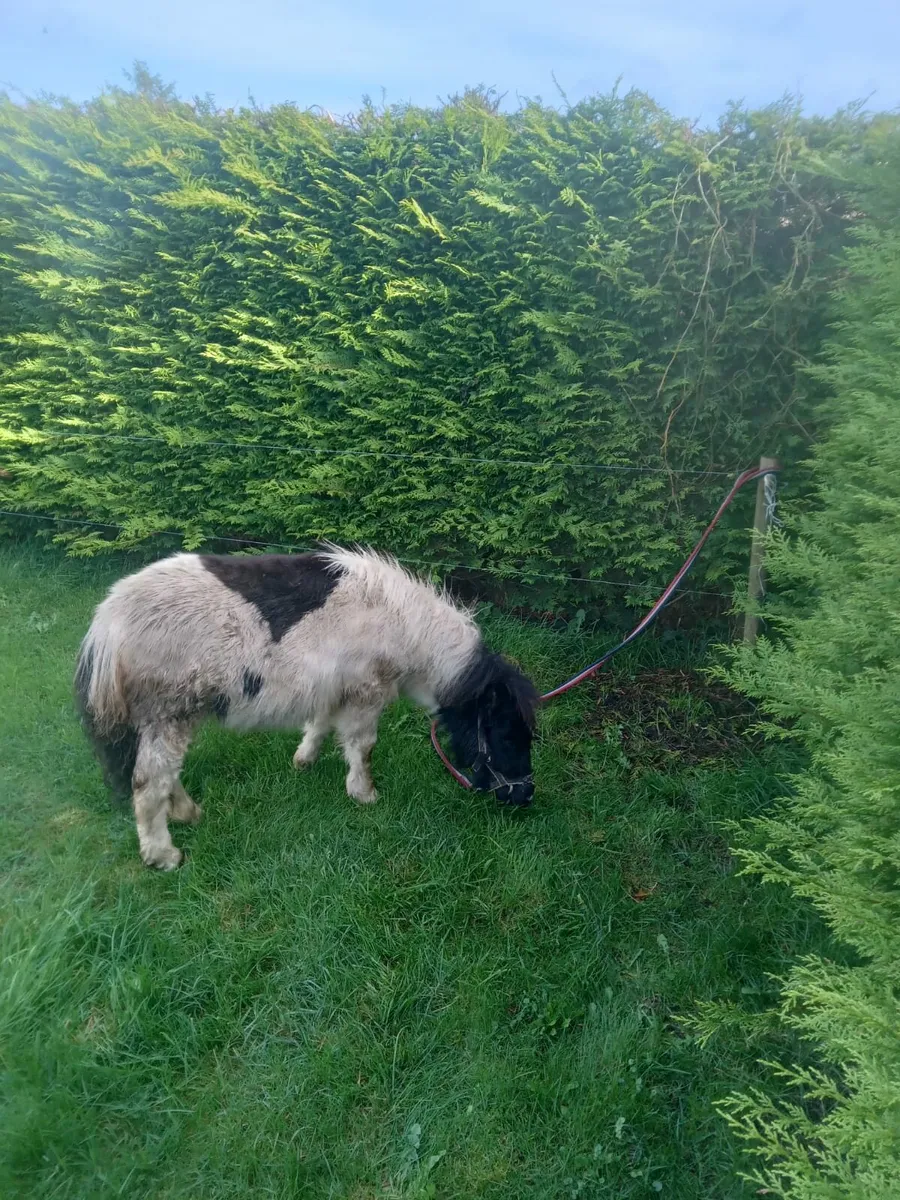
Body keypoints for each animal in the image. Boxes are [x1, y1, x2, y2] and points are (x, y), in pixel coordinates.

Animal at [75, 546, 539, 869]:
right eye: (505, 732)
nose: (524, 796)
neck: (406, 628)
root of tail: (107, 624)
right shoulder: (366, 693)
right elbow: (362, 746)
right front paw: (365, 795)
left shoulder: (332, 690)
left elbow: (320, 724)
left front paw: (304, 761)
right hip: (169, 714)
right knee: (148, 782)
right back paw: (165, 856)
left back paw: (189, 813)